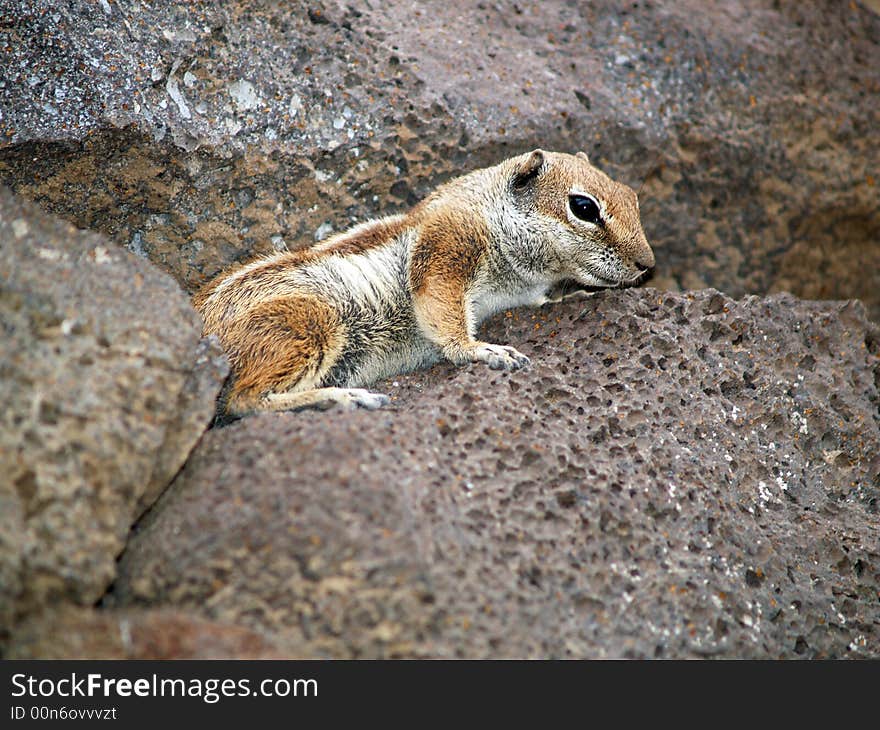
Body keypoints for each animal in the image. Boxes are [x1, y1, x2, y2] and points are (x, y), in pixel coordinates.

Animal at [194, 149, 660, 416]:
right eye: (584, 207)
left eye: (633, 197)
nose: (647, 265)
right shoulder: (449, 240)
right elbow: (441, 305)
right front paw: (481, 350)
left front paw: (569, 297)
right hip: (306, 322)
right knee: (243, 400)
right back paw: (342, 397)